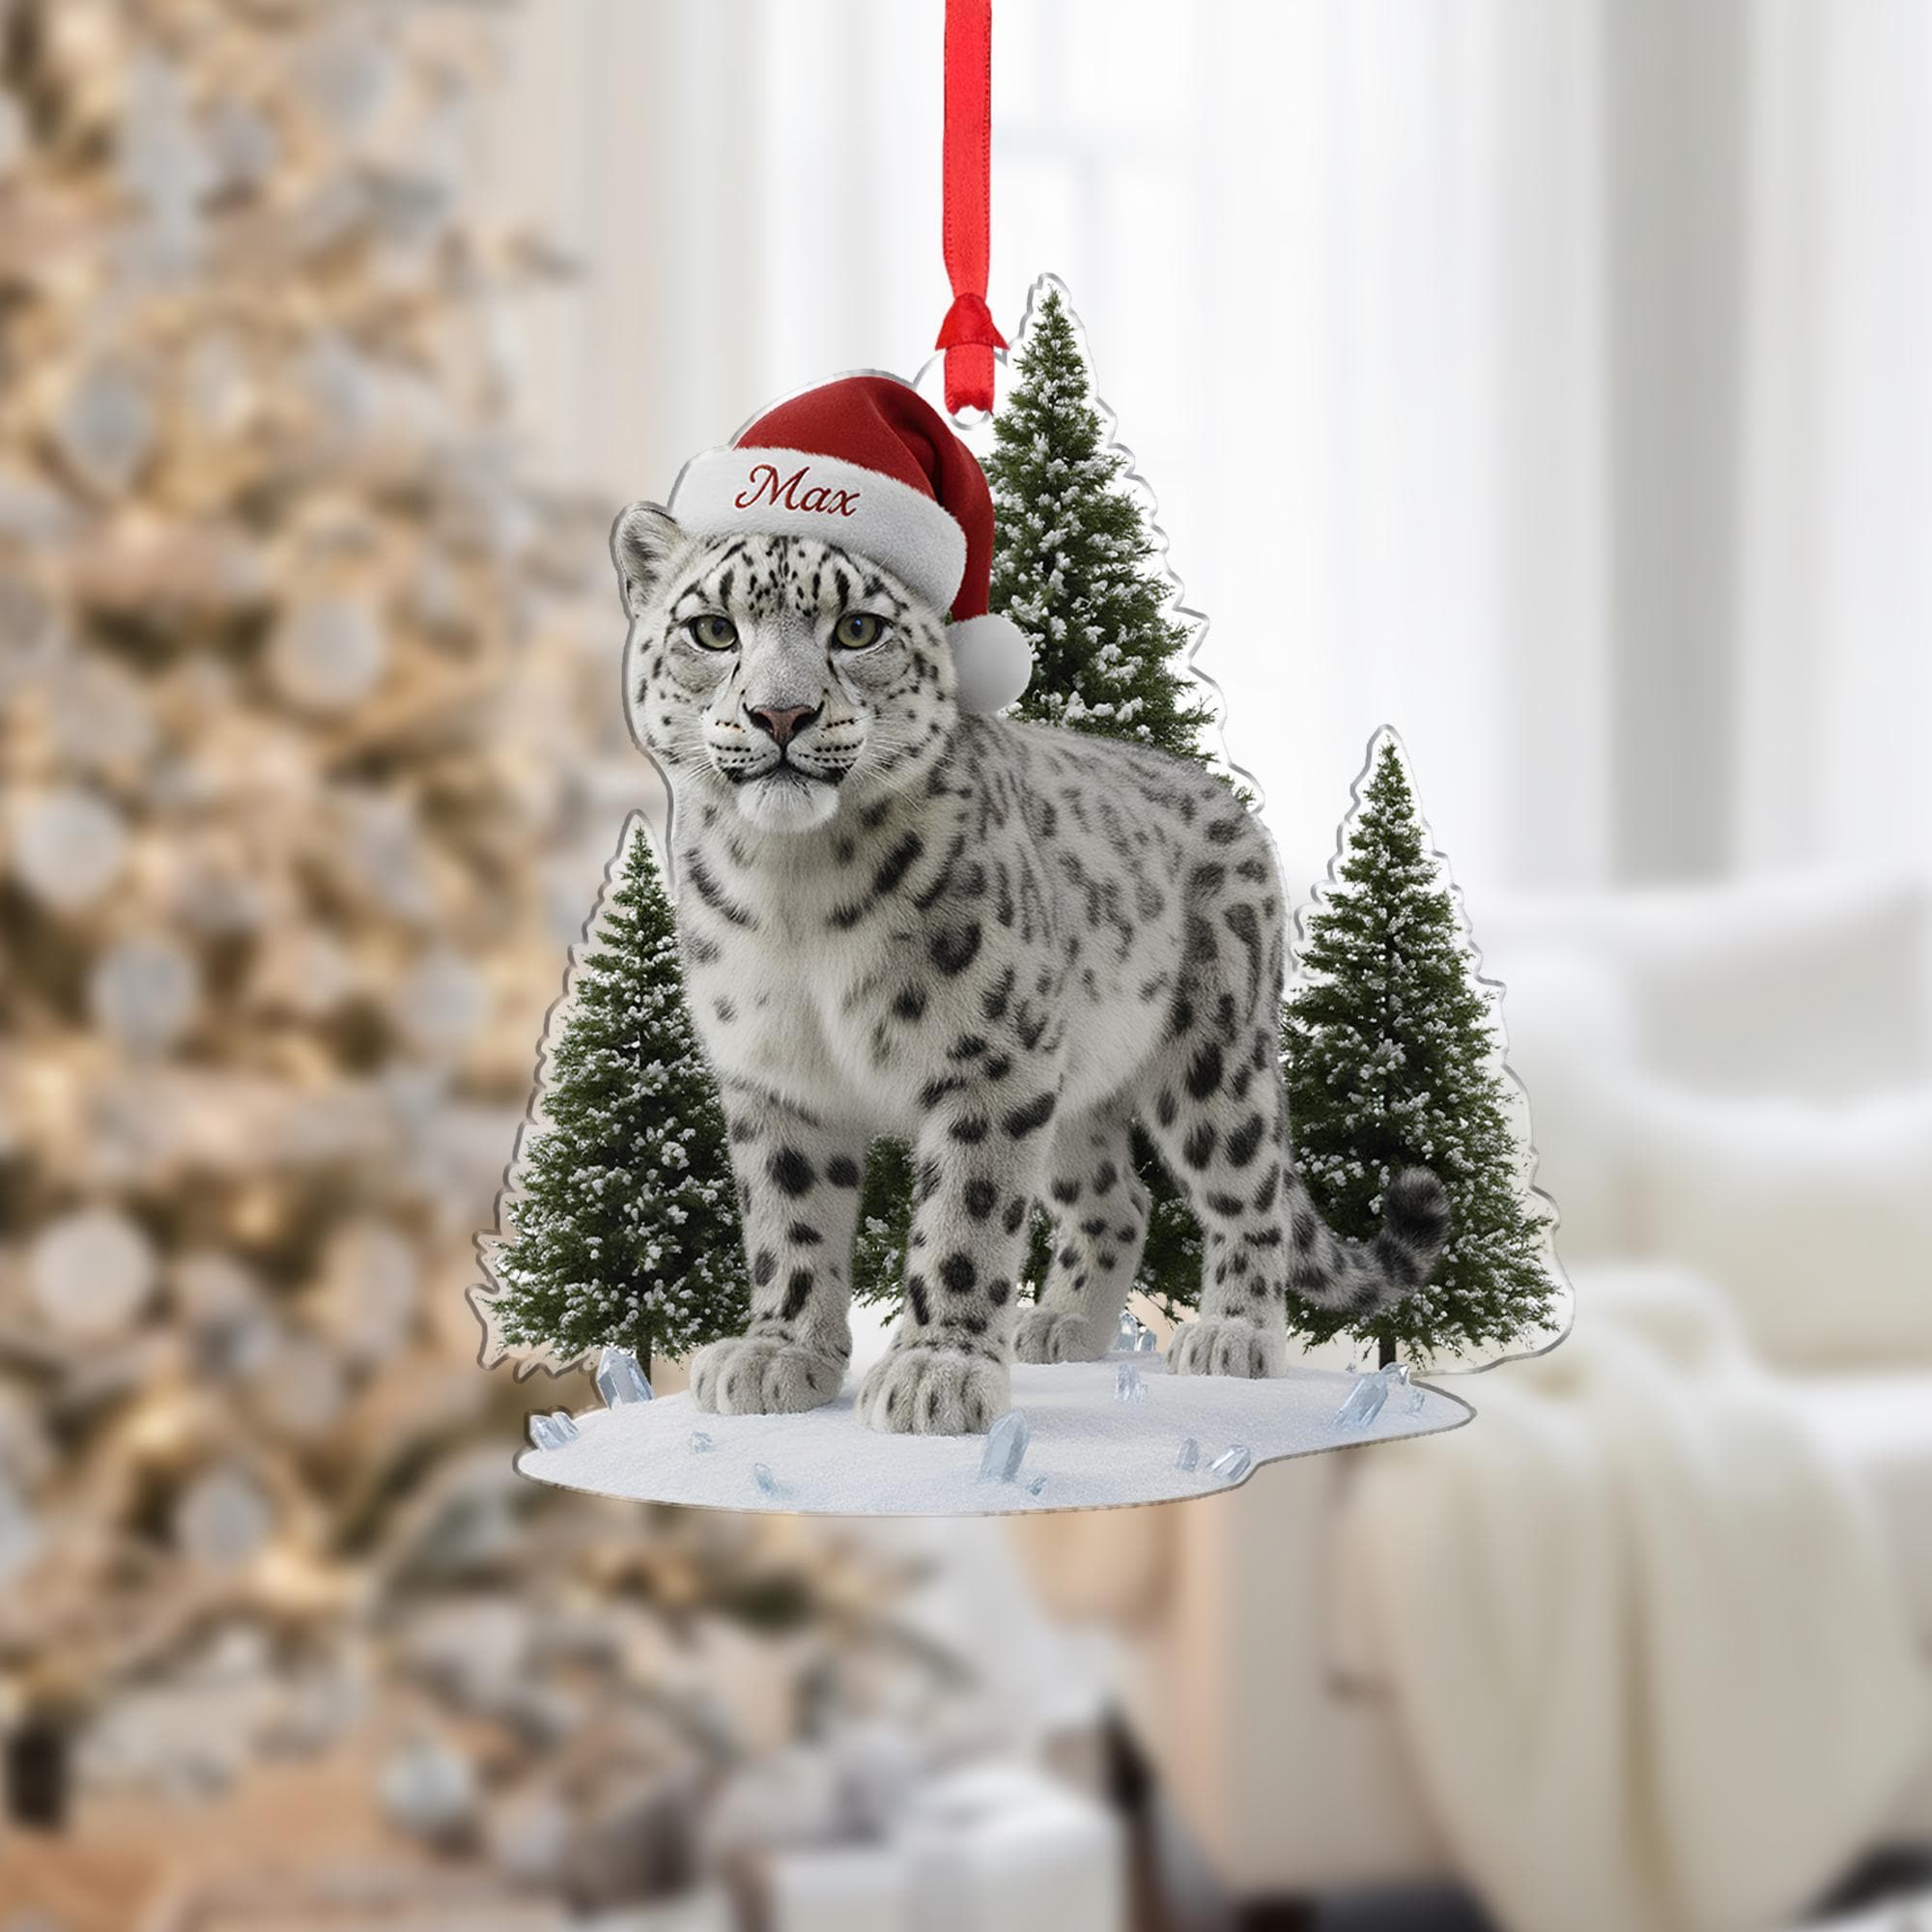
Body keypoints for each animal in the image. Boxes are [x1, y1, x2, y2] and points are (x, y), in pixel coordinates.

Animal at [613, 505, 1450, 1435]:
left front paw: (937, 1373)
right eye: (713, 630)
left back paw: (1234, 1333)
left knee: (1247, 1184)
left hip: (1213, 1051)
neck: (794, 886)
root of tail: (1227, 799)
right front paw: (781, 1354)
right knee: (1120, 1199)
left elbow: (965, 1217)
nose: (781, 713)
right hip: (1070, 1081)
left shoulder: (990, 1056)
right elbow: (788, 1218)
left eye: (858, 628)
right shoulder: (774, 1071)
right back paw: (1063, 1325)